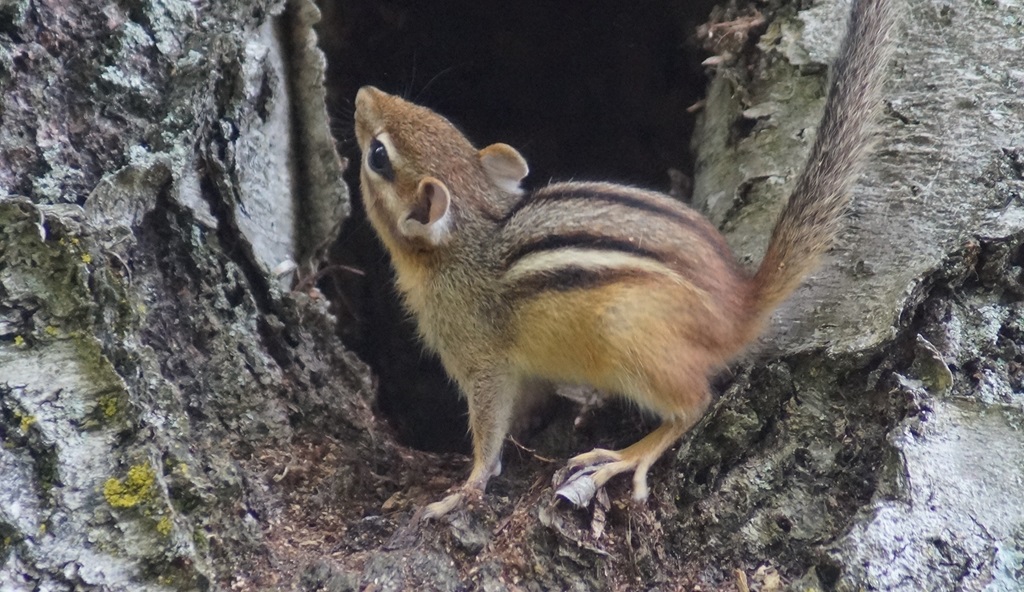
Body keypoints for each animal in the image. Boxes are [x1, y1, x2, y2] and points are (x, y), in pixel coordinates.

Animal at [353, 0, 896, 519]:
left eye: (378, 156)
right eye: (435, 116)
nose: (362, 92)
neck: (467, 239)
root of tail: (742, 304)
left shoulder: (480, 360)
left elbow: (489, 430)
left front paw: (464, 490)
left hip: (626, 333)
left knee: (694, 405)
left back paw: (626, 456)